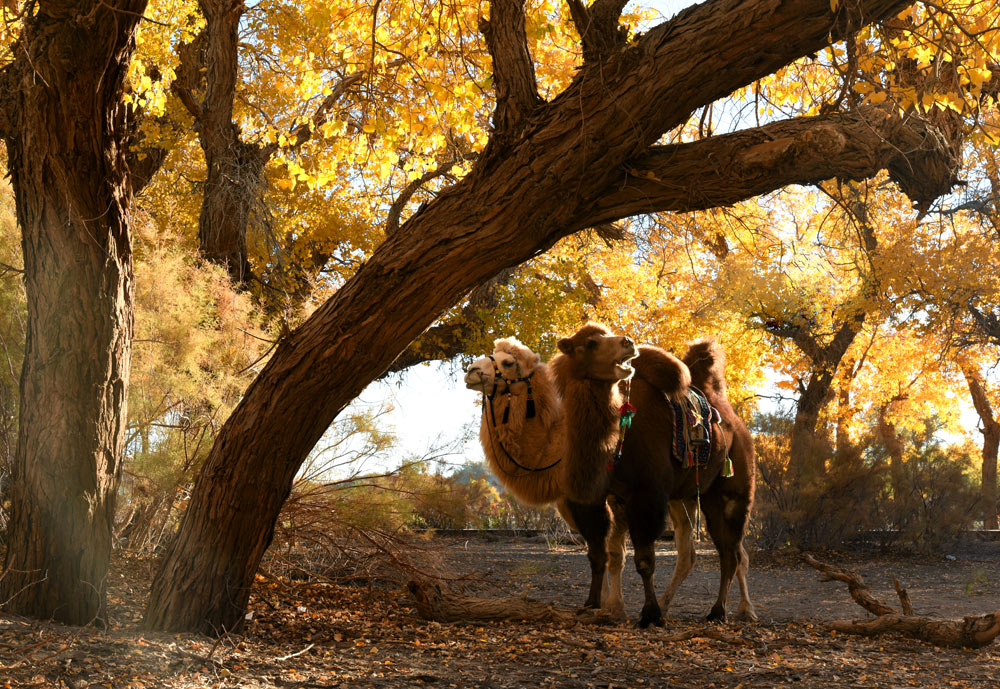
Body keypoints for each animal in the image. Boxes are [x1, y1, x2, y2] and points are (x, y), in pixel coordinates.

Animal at [552, 320, 752, 628]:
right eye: (590, 343)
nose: (627, 343)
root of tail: (735, 424)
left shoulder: (646, 495)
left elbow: (645, 559)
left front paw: (650, 614)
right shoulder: (608, 497)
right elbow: (603, 553)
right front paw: (594, 605)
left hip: (733, 493)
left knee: (732, 552)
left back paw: (720, 611)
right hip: (693, 496)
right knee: (718, 552)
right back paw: (710, 610)